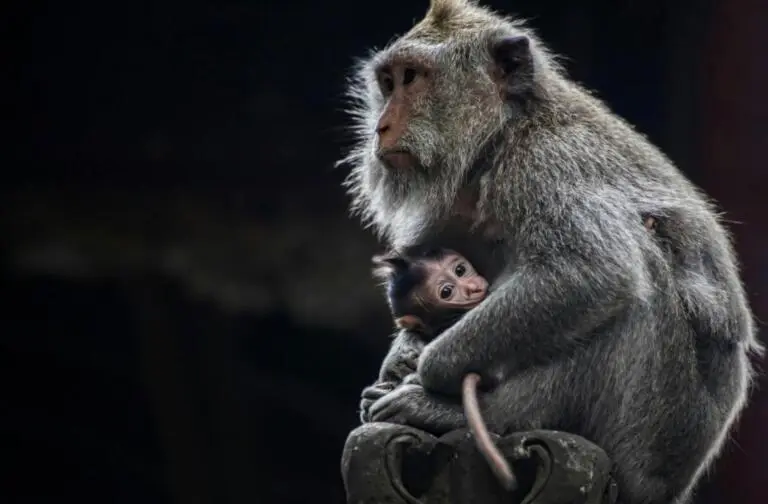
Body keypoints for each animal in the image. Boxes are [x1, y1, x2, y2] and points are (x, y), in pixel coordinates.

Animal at [338, 1, 763, 503]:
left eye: (412, 78)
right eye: (388, 82)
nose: (381, 127)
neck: (505, 132)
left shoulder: (547, 162)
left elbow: (593, 274)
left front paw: (429, 369)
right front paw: (403, 353)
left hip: (656, 434)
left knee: (638, 280)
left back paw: (479, 414)